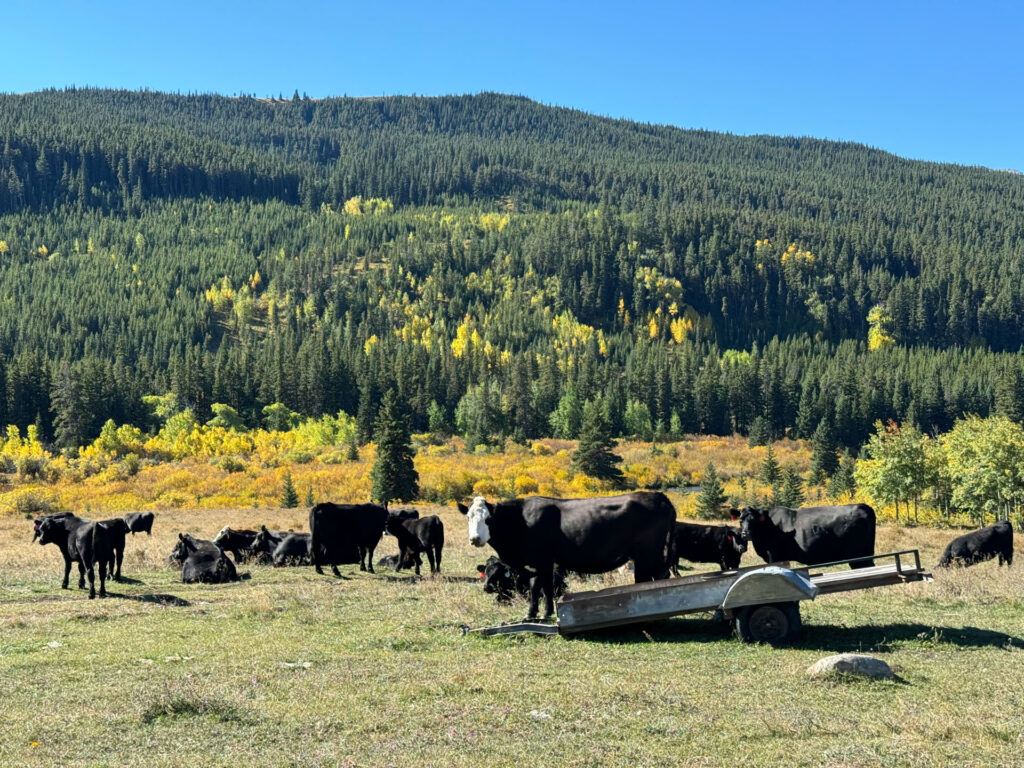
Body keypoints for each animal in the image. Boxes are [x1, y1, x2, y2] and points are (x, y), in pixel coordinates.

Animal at [460, 493, 675, 626]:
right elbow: (535, 587)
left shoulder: (545, 561)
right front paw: (530, 614)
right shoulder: (534, 564)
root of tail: (659, 496)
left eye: (488, 519)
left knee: (649, 580)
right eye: (469, 517)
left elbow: (546, 588)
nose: (475, 539)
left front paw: (546, 614)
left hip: (648, 554)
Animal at [733, 505, 876, 573]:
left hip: (856, 554)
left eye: (754, 520)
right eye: (740, 520)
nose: (746, 533)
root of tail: (863, 506)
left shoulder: (773, 555)